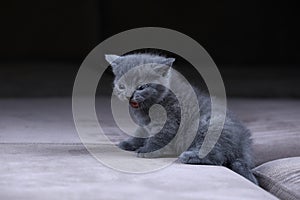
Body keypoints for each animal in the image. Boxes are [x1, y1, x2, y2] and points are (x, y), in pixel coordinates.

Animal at [105, 53, 258, 184]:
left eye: (141, 86)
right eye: (121, 86)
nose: (128, 96)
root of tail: (244, 145)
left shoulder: (169, 120)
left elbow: (159, 136)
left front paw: (147, 150)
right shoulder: (145, 125)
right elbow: (140, 133)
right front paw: (128, 143)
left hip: (209, 124)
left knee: (217, 156)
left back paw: (188, 156)